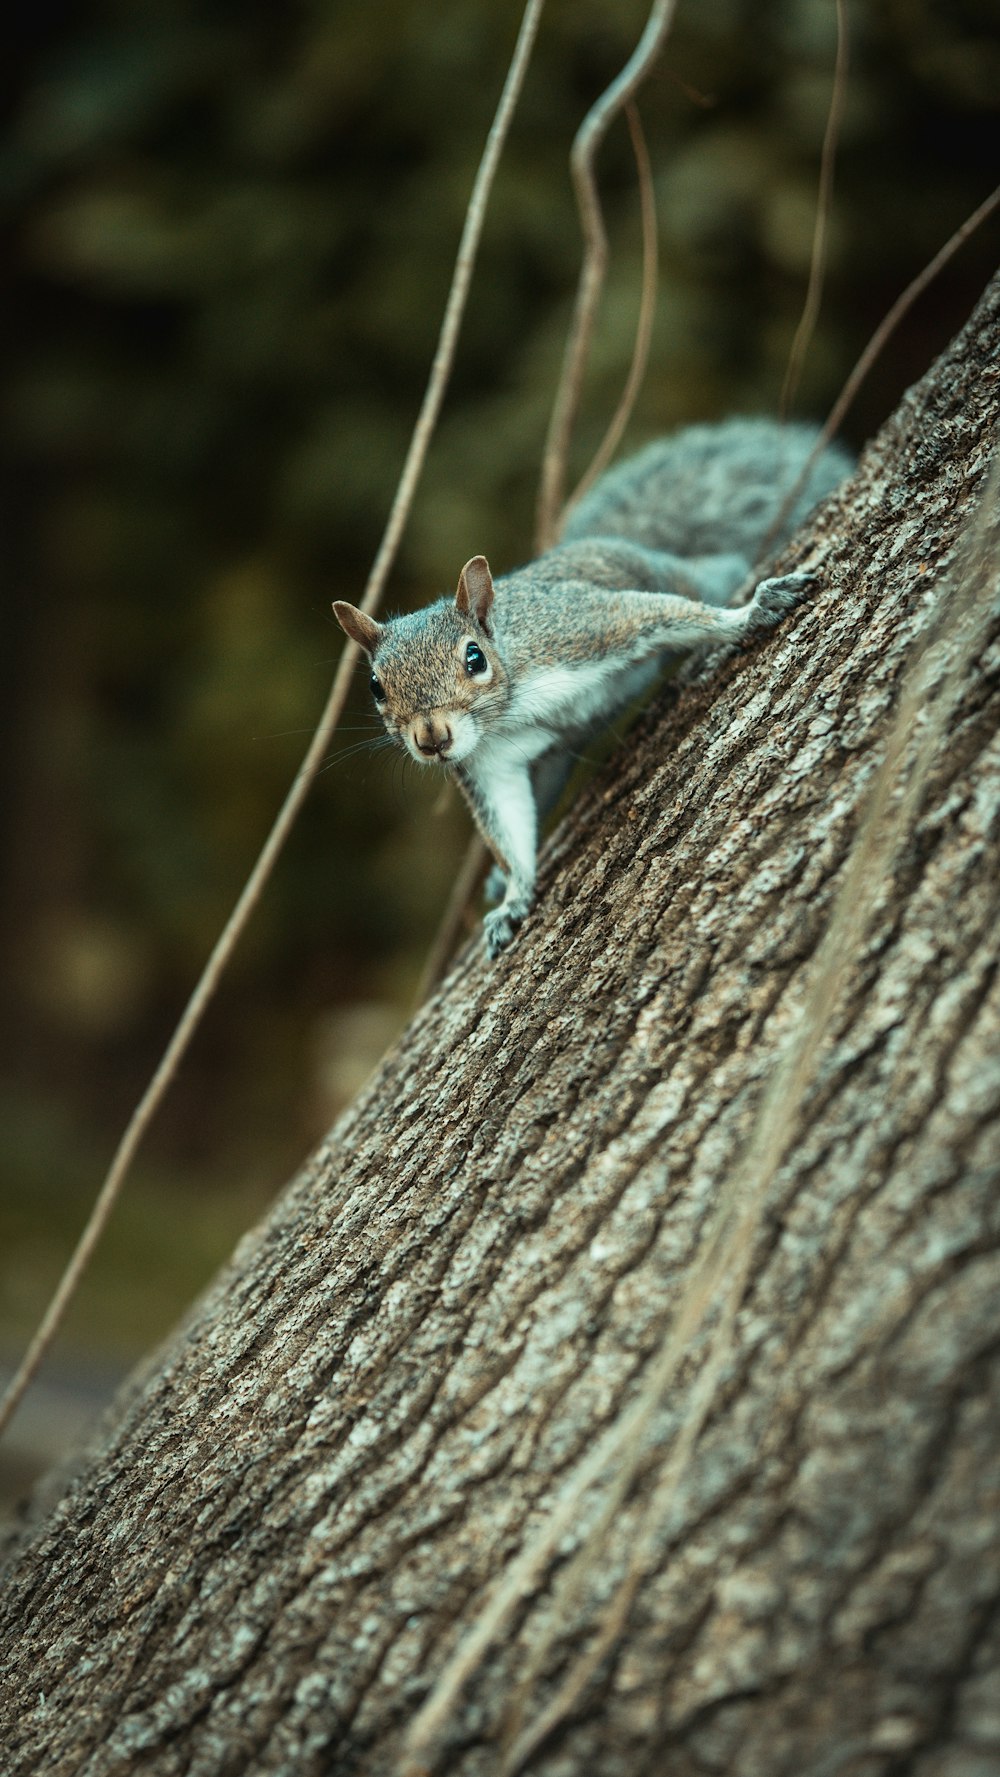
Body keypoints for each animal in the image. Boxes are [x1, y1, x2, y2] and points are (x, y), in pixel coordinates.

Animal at [335, 417, 852, 959]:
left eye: (474, 658)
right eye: (375, 686)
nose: (432, 739)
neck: (510, 707)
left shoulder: (582, 630)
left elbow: (660, 615)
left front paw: (750, 614)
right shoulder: (487, 764)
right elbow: (508, 825)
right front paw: (514, 896)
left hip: (662, 573)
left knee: (698, 581)